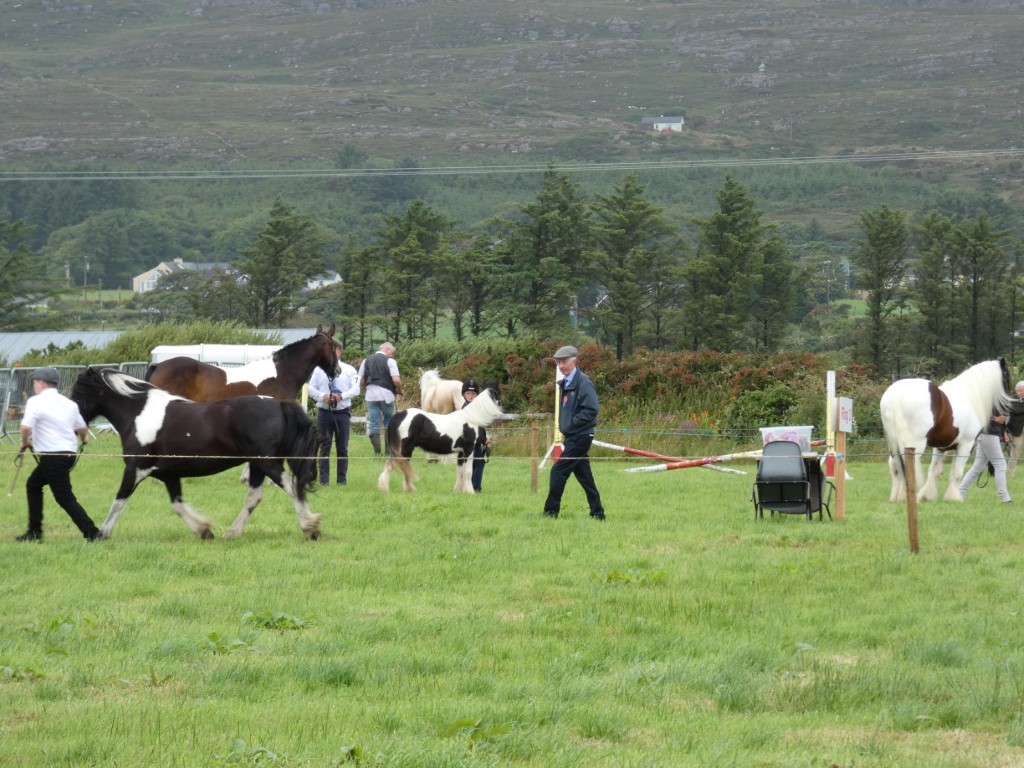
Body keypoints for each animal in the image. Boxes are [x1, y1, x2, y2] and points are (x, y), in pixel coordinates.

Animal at [71, 367, 322, 540]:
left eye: (77, 392)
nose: (76, 426)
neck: (138, 414)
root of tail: (279, 405)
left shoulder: (135, 469)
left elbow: (119, 501)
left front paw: (102, 533)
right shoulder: (169, 474)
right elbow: (178, 505)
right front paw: (203, 530)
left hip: (268, 463)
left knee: (291, 486)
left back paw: (310, 527)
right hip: (258, 465)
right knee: (254, 496)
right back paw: (232, 532)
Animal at [880, 359, 1011, 502]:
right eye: (1006, 378)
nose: (1006, 412)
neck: (969, 396)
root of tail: (895, 394)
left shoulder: (940, 447)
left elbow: (933, 470)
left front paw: (926, 495)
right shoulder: (966, 445)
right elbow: (956, 473)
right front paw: (954, 498)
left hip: (894, 444)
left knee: (894, 465)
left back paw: (896, 497)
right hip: (915, 444)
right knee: (908, 466)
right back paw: (906, 497)